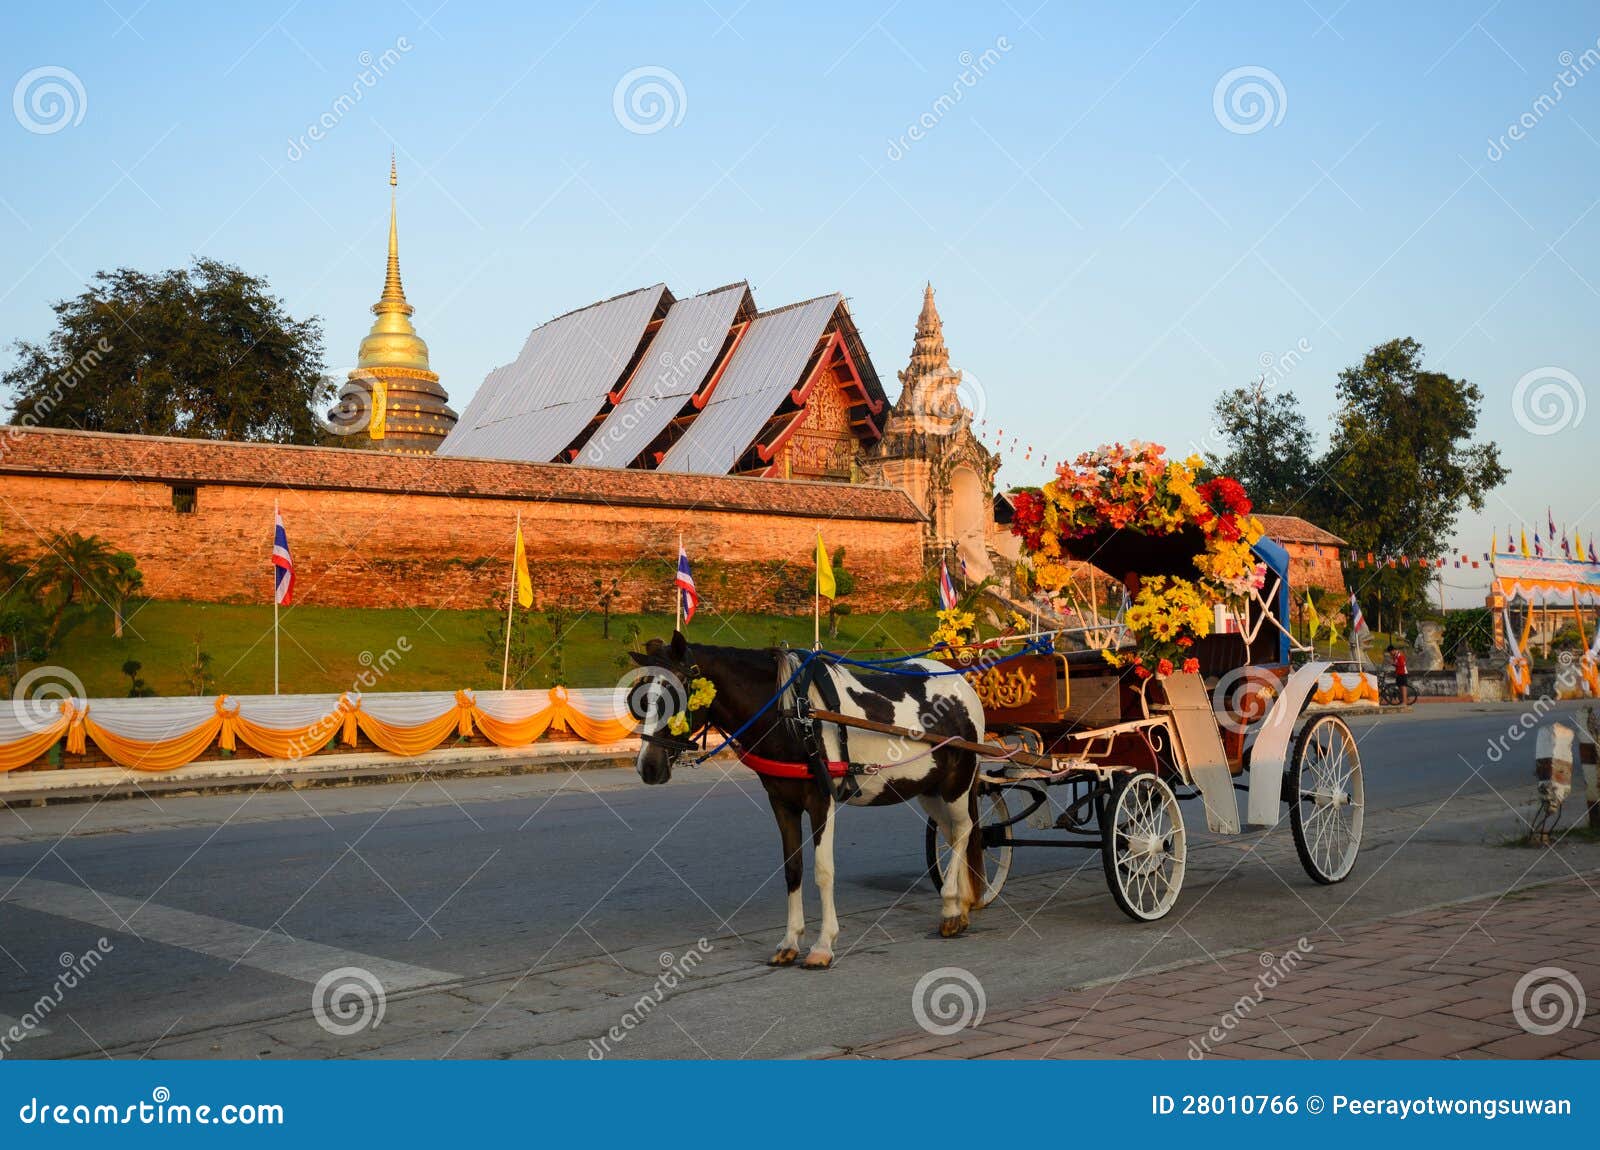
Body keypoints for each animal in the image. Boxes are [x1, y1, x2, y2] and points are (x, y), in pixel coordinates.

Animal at [627, 633, 985, 966]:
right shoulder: (782, 802)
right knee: (953, 833)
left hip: (957, 783)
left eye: (678, 691)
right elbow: (793, 868)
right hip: (928, 788)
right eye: (640, 697)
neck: (793, 716)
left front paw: (823, 944)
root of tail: (961, 685)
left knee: (963, 831)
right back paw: (962, 905)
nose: (648, 766)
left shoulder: (821, 800)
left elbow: (823, 871)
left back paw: (950, 906)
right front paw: (790, 941)